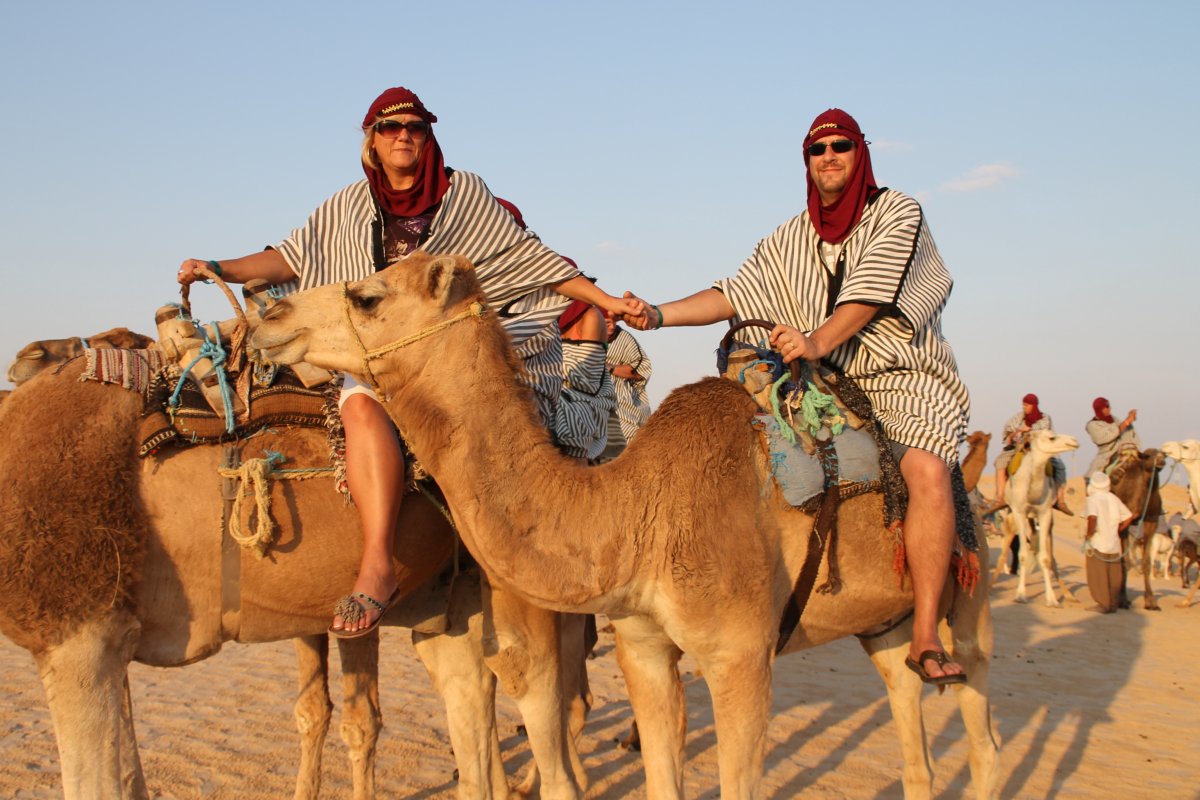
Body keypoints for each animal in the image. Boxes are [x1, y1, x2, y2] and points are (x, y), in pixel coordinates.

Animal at [250, 253, 1001, 800]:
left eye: (366, 296)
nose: (267, 317)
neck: (638, 508)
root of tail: (968, 473)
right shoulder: (641, 643)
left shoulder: (740, 652)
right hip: (881, 621)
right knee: (908, 719)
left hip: (969, 594)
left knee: (983, 733)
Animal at [991, 430, 1080, 606]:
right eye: (1052, 437)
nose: (1074, 441)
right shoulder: (1018, 511)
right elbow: (1023, 555)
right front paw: (1020, 595)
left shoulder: (1045, 512)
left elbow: (1045, 558)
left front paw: (1052, 599)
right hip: (1010, 518)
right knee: (1003, 553)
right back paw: (990, 585)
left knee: (1051, 557)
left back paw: (1069, 595)